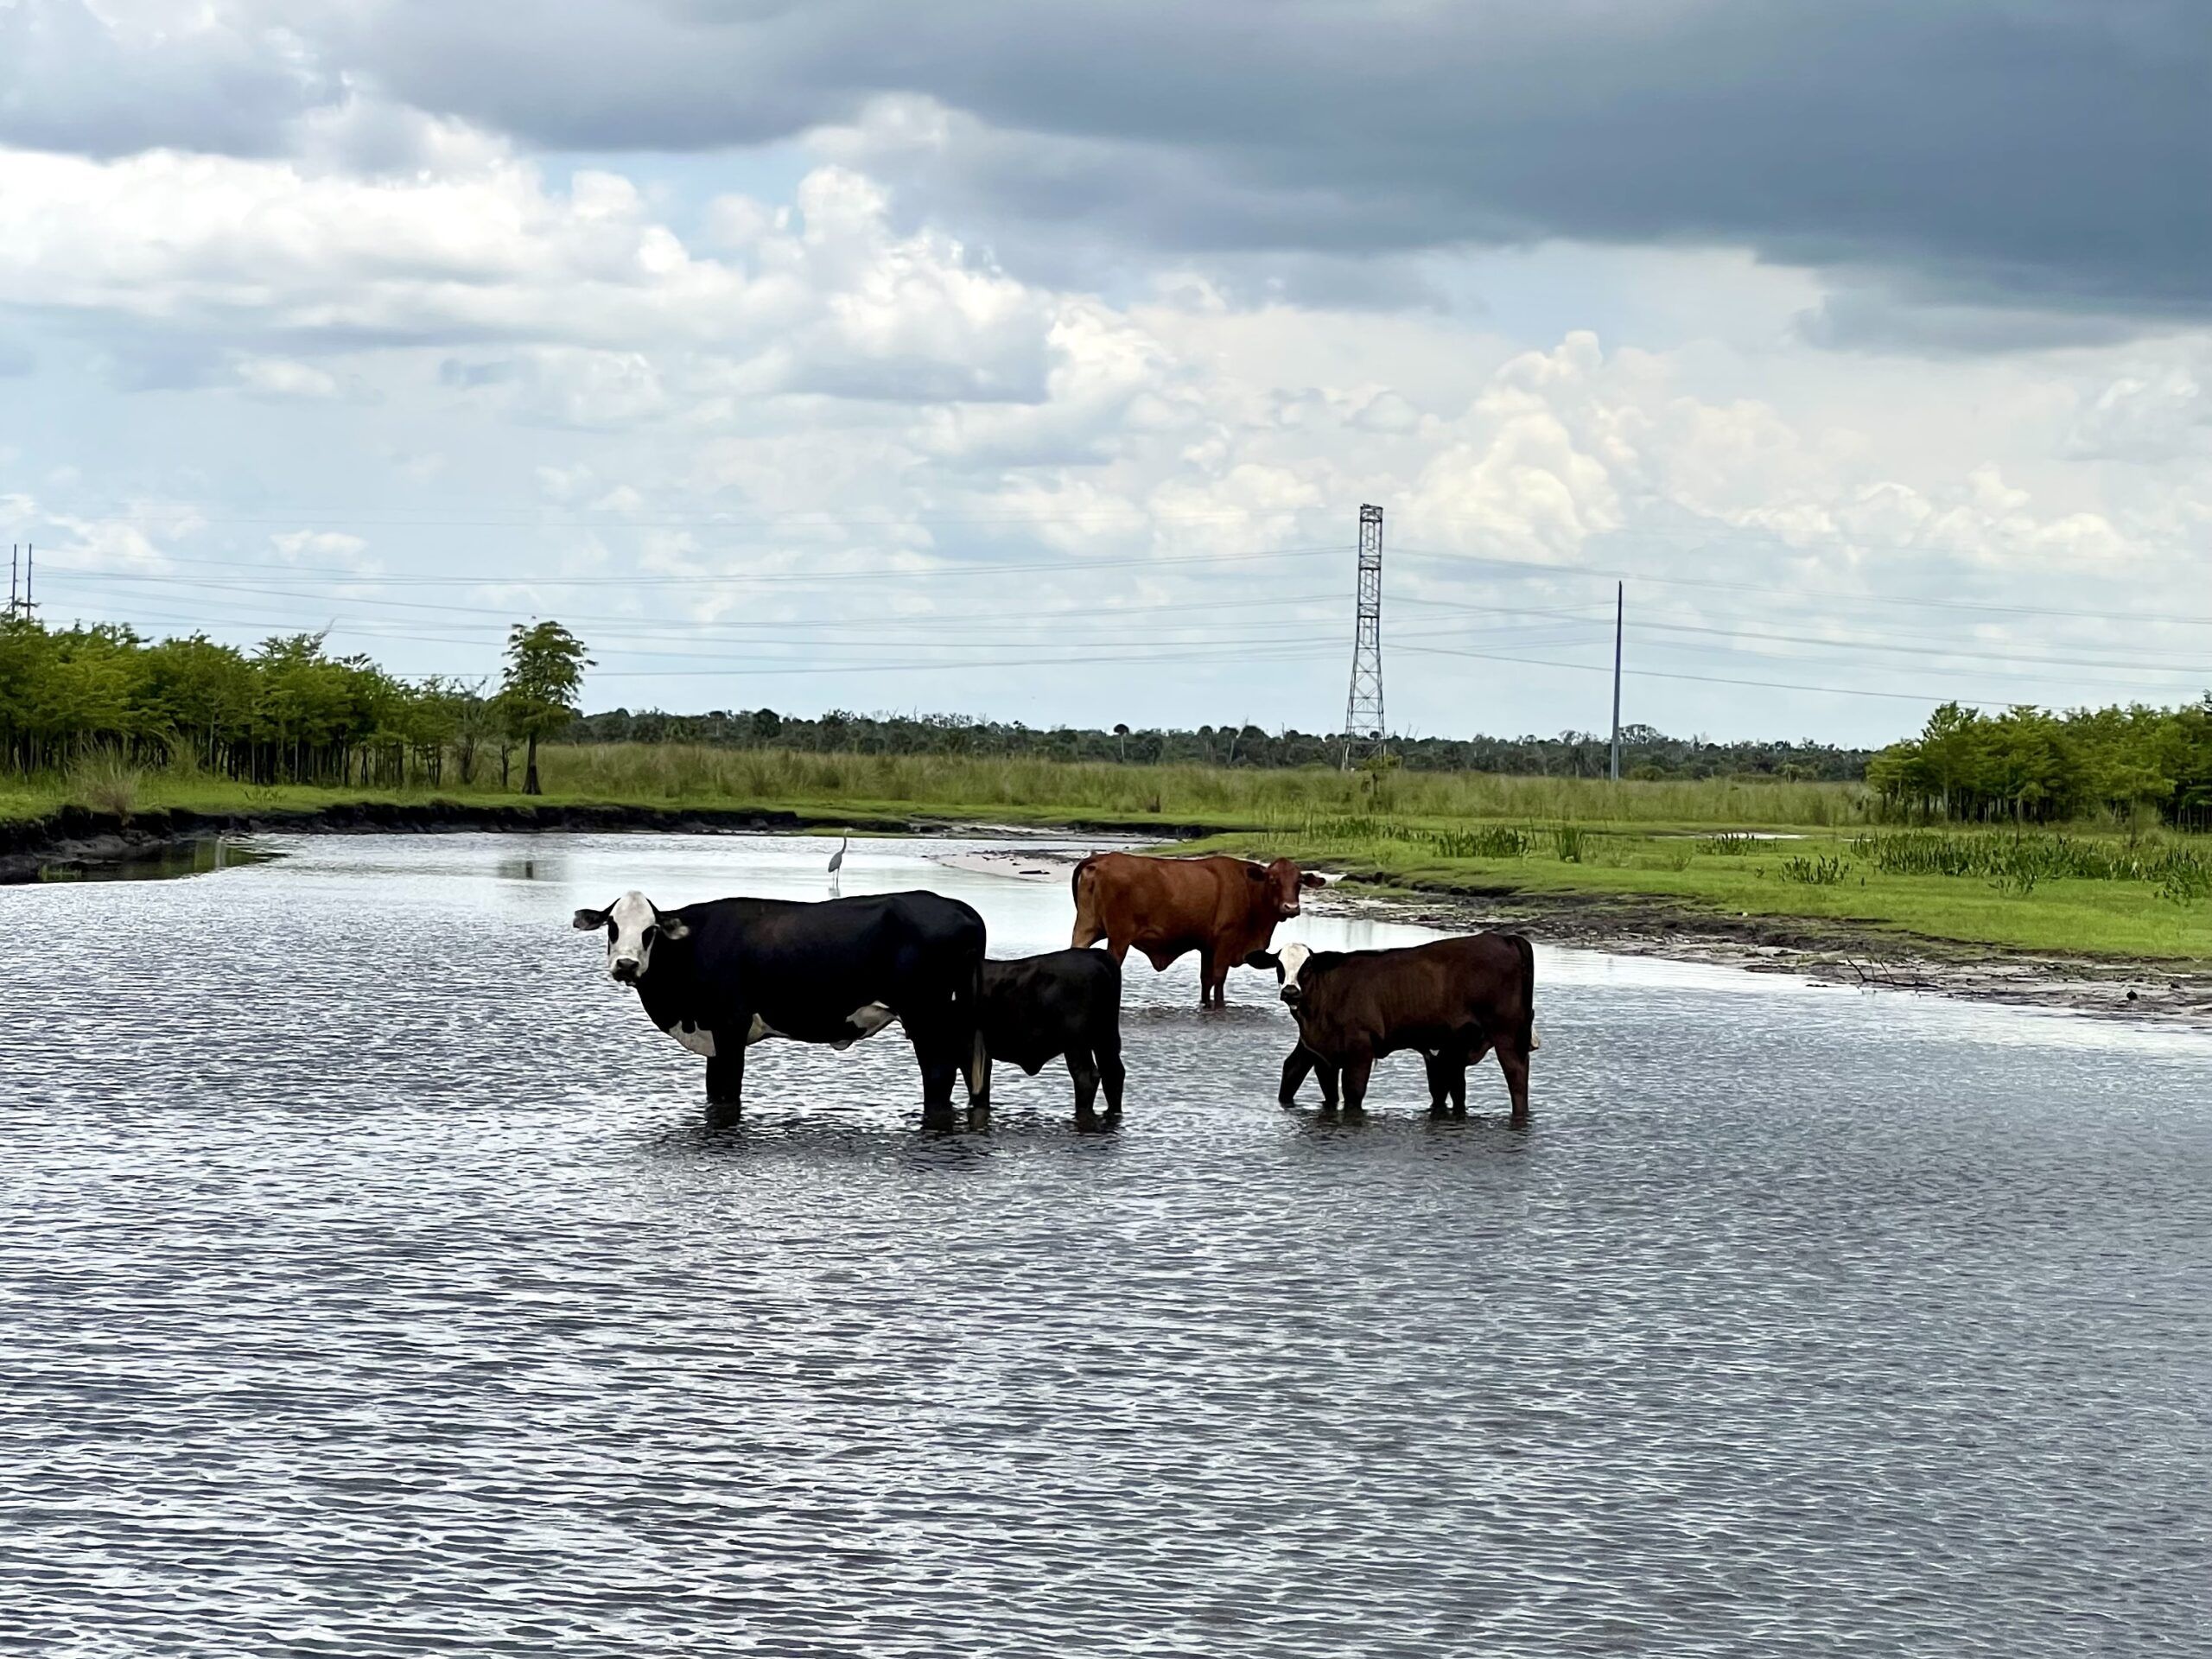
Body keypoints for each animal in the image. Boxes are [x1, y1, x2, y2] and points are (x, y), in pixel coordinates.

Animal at [575, 889, 990, 1141]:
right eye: (612, 926)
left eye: (651, 930)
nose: (626, 965)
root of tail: (961, 909)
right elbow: (713, 1093)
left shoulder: (730, 1027)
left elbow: (728, 1090)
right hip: (958, 1020)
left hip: (927, 1017)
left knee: (938, 1076)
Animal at [1065, 849, 1318, 1008]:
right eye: (1273, 880)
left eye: (1299, 882)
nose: (1291, 907)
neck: (1248, 888)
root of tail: (1102, 860)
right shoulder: (1225, 941)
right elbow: (1218, 979)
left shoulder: (1207, 946)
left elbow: (1206, 980)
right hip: (1119, 938)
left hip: (1085, 929)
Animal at [1247, 942, 1539, 1123]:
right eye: (1279, 966)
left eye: (1307, 966)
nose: (1290, 991)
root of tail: (1505, 938)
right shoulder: (1319, 1053)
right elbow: (1316, 1088)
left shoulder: (1360, 1049)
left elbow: (1353, 1094)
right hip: (1456, 1048)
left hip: (1508, 1036)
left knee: (1517, 1079)